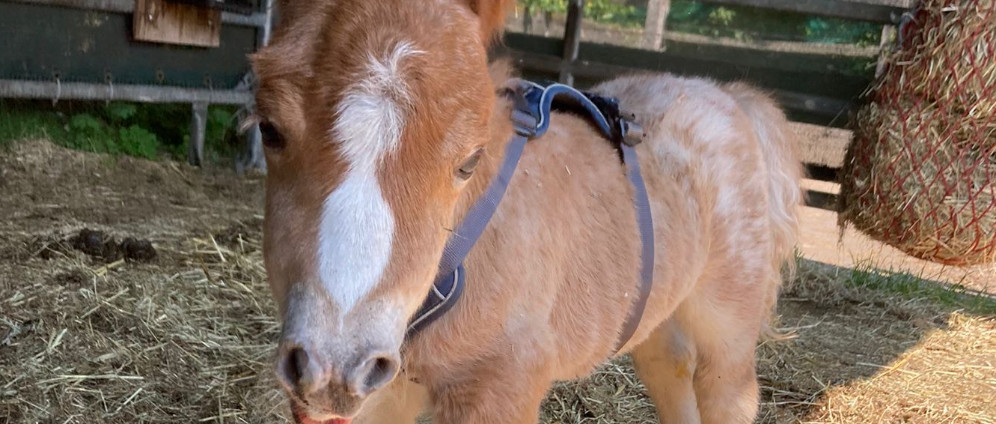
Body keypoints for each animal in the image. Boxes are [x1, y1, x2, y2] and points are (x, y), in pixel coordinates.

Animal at [249, 0, 803, 423]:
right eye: (268, 128)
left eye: (468, 161)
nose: (333, 368)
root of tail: (728, 96)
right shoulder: (382, 395)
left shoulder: (501, 388)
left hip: (727, 331)